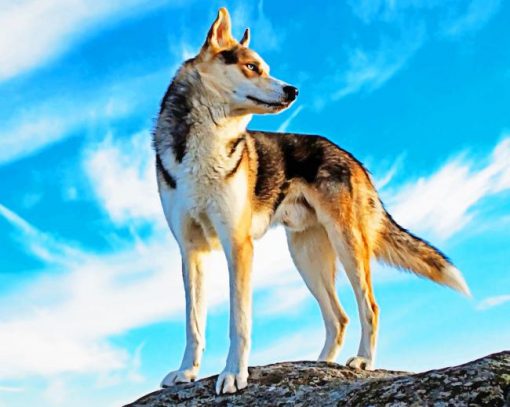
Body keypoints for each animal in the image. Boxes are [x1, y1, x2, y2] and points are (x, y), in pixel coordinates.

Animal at [153, 7, 472, 396]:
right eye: (252, 67)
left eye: (265, 67)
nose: (293, 90)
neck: (206, 144)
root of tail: (350, 157)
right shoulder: (191, 251)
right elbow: (193, 324)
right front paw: (187, 372)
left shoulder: (238, 246)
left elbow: (238, 322)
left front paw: (233, 374)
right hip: (306, 256)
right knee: (339, 317)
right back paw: (321, 364)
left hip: (347, 246)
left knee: (369, 308)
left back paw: (363, 361)